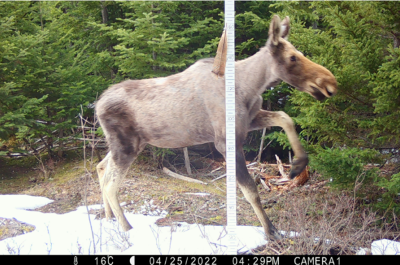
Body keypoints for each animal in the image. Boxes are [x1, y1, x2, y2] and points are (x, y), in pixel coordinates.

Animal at [95, 15, 336, 240]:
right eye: (292, 57)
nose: (330, 82)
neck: (249, 87)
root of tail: (97, 105)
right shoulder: (226, 141)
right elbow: (250, 191)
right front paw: (271, 231)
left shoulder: (250, 120)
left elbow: (285, 118)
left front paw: (298, 163)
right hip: (126, 146)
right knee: (110, 184)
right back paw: (126, 228)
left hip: (127, 144)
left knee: (101, 167)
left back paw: (108, 219)